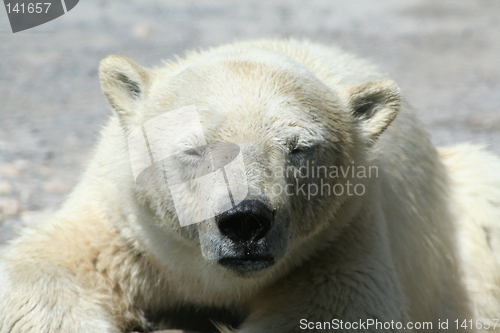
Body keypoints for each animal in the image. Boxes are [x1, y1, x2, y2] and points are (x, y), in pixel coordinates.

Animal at [0, 39, 500, 332]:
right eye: (194, 146)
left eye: (298, 147)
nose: (244, 221)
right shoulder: (124, 227)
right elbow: (40, 277)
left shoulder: (342, 240)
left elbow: (336, 310)